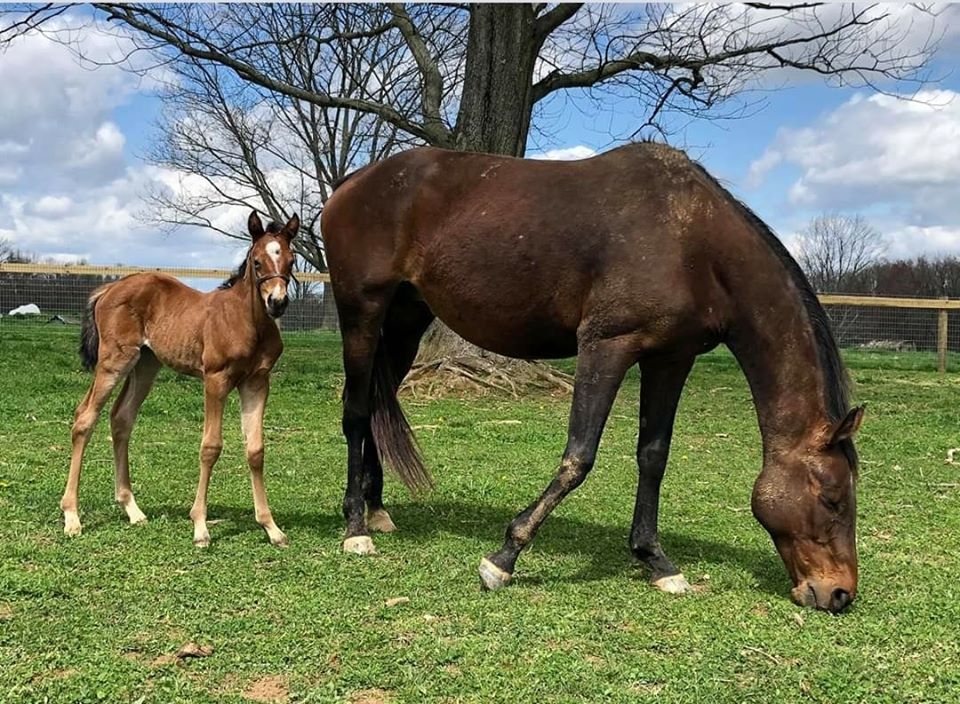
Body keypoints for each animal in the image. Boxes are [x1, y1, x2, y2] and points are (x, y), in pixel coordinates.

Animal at [62, 212, 300, 548]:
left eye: (291, 261)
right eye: (257, 261)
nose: (277, 302)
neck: (247, 321)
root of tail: (108, 289)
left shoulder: (257, 382)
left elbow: (255, 450)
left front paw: (271, 528)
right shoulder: (215, 380)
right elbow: (210, 447)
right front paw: (200, 527)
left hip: (145, 365)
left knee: (121, 418)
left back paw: (132, 509)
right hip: (114, 361)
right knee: (85, 418)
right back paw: (72, 517)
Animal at [320, 146, 864, 612]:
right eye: (833, 499)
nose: (839, 593)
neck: (692, 239)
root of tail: (354, 182)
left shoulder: (671, 358)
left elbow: (653, 456)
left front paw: (655, 559)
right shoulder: (607, 346)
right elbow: (578, 457)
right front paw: (503, 558)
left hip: (405, 320)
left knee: (376, 406)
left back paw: (376, 508)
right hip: (362, 312)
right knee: (357, 412)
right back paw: (355, 527)